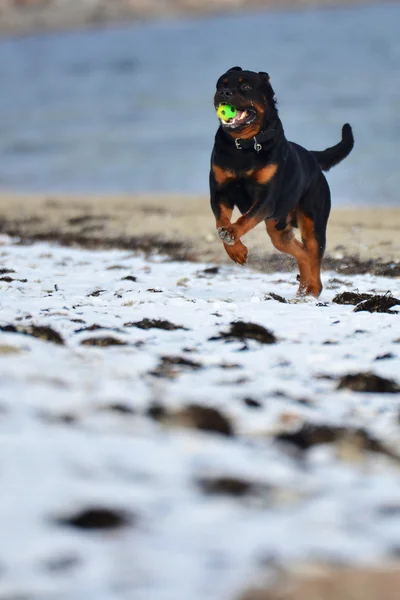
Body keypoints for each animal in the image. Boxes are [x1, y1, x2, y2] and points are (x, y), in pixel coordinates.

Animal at [209, 66, 354, 298]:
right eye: (220, 85)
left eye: (245, 86)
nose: (223, 93)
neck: (245, 146)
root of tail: (312, 157)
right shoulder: (220, 192)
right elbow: (221, 220)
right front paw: (235, 249)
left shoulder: (266, 198)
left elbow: (244, 220)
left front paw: (232, 235)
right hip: (279, 230)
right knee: (302, 253)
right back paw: (304, 288)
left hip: (313, 223)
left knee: (313, 255)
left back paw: (312, 291)